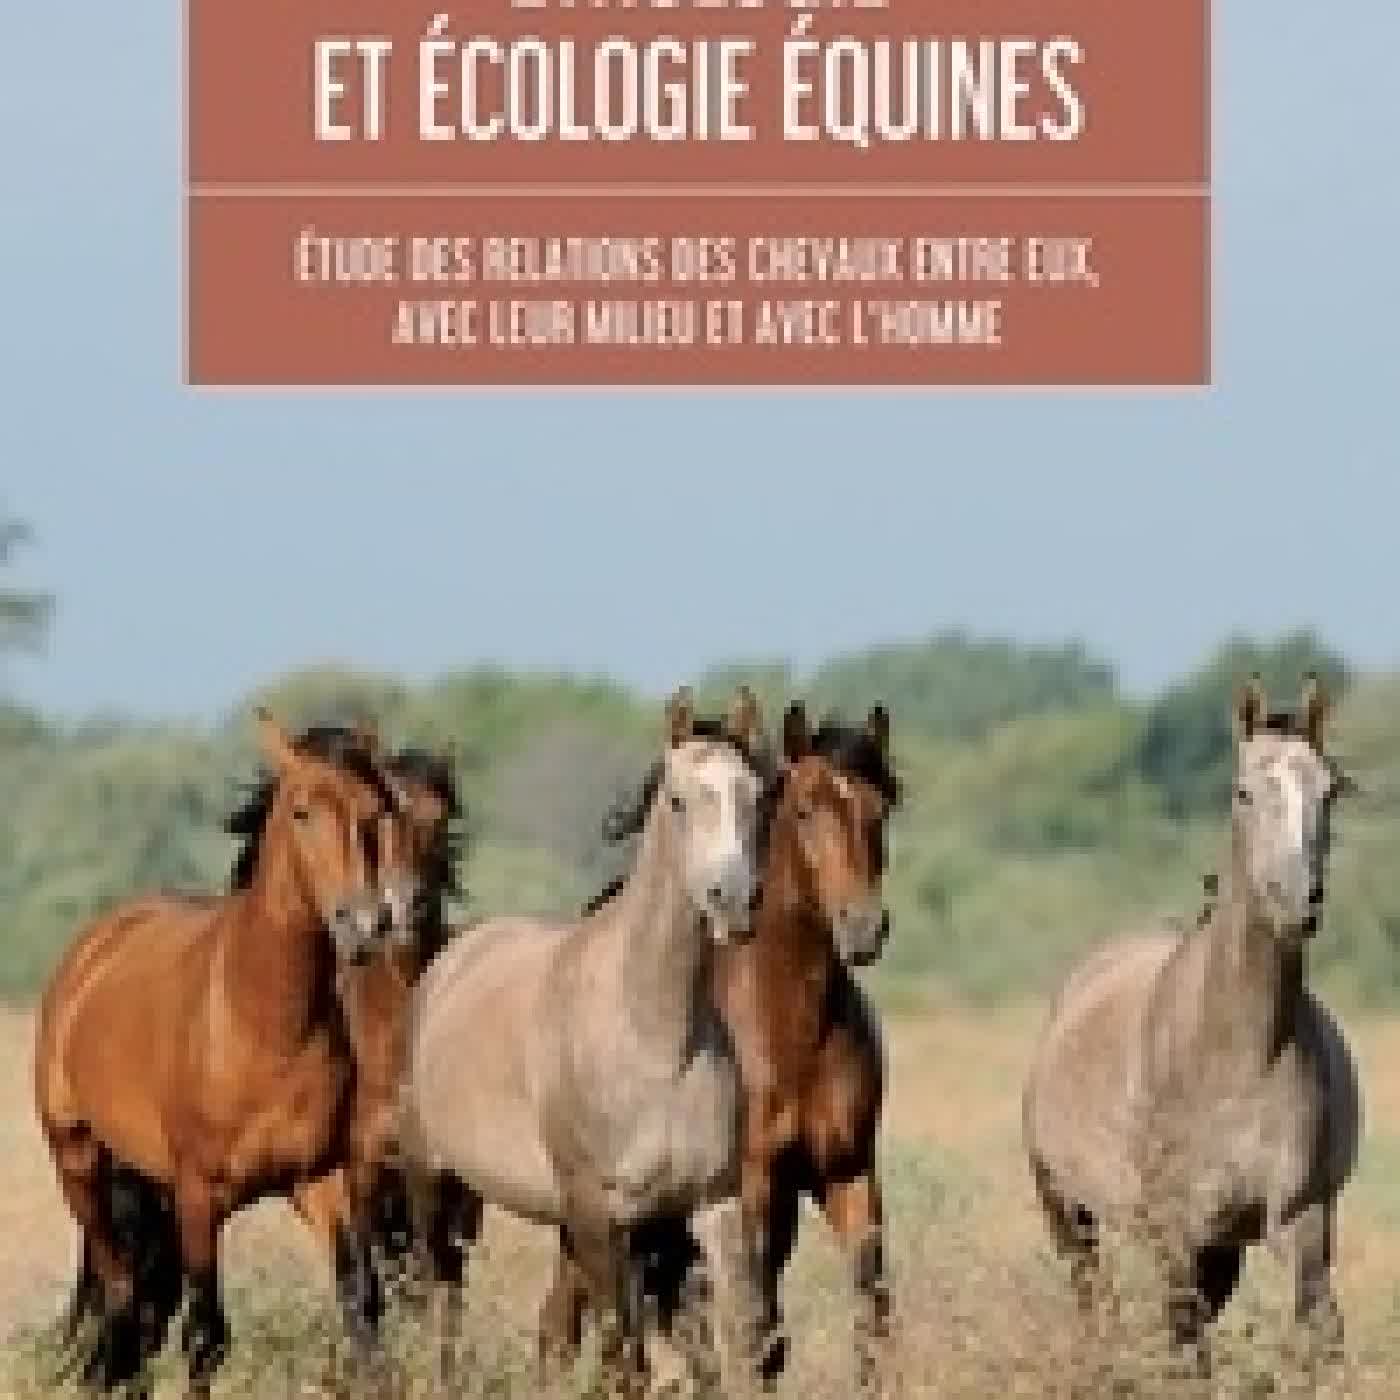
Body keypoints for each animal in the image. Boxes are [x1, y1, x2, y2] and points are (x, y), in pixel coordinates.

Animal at [33, 710, 420, 1398]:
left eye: (374, 811)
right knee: (122, 1297)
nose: (364, 922)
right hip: (79, 1164)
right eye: (301, 810)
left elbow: (362, 1307)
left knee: (136, 1308)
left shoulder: (325, 1180)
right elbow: (206, 1336)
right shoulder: (199, 1194)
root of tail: (93, 948)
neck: (264, 1025)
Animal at [400, 686, 768, 1397]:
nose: (732, 899)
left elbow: (735, 1346)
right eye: (678, 799)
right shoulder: (602, 1215)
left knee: (548, 1336)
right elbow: (628, 1359)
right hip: (437, 1186)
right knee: (441, 1307)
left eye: (756, 795)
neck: (655, 1038)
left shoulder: (707, 1205)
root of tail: (451, 959)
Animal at [546, 699, 901, 1393]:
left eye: (882, 807)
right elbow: (755, 1333)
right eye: (805, 808)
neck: (786, 1027)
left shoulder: (847, 1171)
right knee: (567, 1326)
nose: (864, 927)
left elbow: (870, 1310)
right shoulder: (753, 1186)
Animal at [1023, 675, 1361, 1378]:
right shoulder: (1175, 1229)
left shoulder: (1303, 1218)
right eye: (1243, 791)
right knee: (1094, 1306)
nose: (1296, 900)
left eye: (1331, 788)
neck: (1236, 1052)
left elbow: (1319, 1335)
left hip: (1224, 1245)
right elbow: (1187, 1350)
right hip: (1069, 1214)